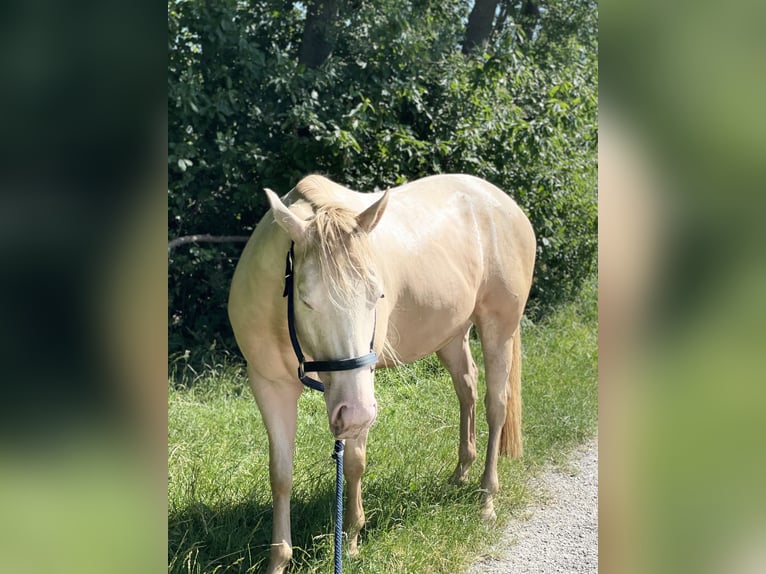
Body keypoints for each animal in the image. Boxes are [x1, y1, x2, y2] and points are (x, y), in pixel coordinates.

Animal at [231, 173, 536, 572]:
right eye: (306, 299)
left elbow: (354, 463)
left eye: (377, 295)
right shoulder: (269, 386)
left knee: (495, 405)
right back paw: (460, 474)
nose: (356, 414)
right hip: (451, 334)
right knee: (466, 388)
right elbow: (280, 474)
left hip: (499, 327)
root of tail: (505, 204)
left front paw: (350, 541)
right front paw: (278, 560)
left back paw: (486, 499)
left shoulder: (361, 386)